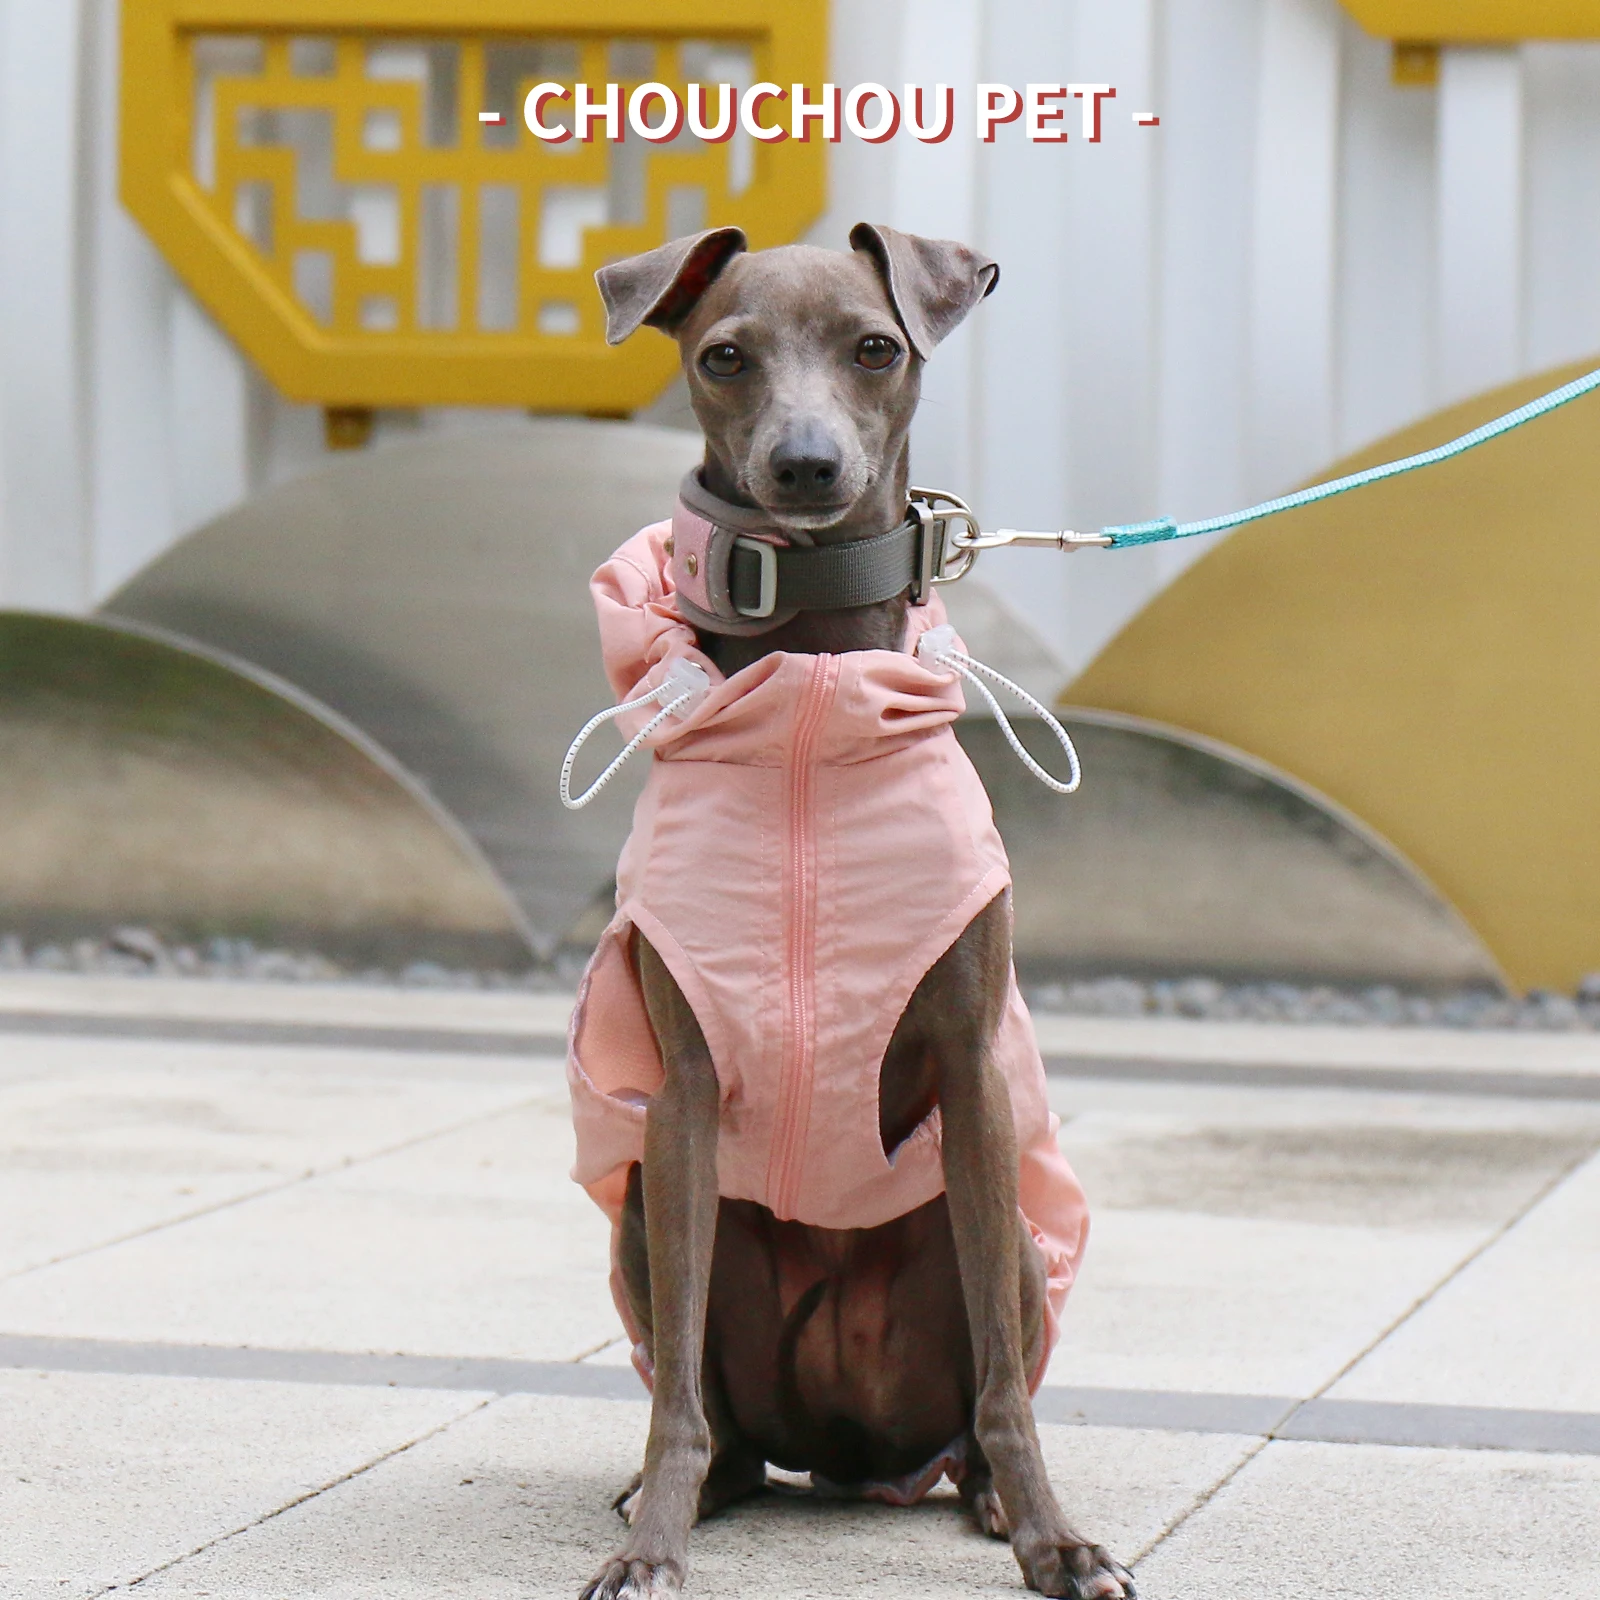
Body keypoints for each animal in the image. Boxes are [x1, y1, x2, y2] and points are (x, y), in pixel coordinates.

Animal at [568, 224, 1134, 1600]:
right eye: (725, 356)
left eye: (875, 347)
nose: (807, 464)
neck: (812, 696)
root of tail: (844, 1450)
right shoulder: (682, 1092)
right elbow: (673, 1403)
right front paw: (650, 1551)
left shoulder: (971, 1071)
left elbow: (1007, 1393)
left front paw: (1055, 1541)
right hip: (649, 1221)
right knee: (708, 1411)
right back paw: (685, 1492)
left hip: (1003, 1242)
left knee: (981, 1398)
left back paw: (987, 1498)